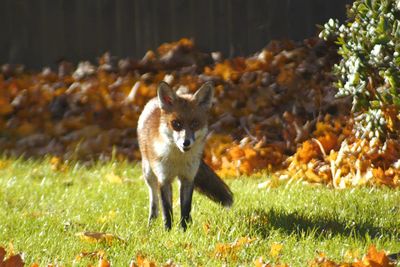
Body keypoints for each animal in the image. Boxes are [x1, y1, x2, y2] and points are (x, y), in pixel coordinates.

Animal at [137, 81, 233, 230]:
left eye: (195, 123)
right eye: (176, 124)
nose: (186, 142)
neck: (178, 160)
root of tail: (154, 101)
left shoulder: (188, 178)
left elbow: (186, 208)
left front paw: (184, 229)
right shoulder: (164, 179)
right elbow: (167, 210)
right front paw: (168, 231)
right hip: (148, 172)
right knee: (154, 199)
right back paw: (151, 222)